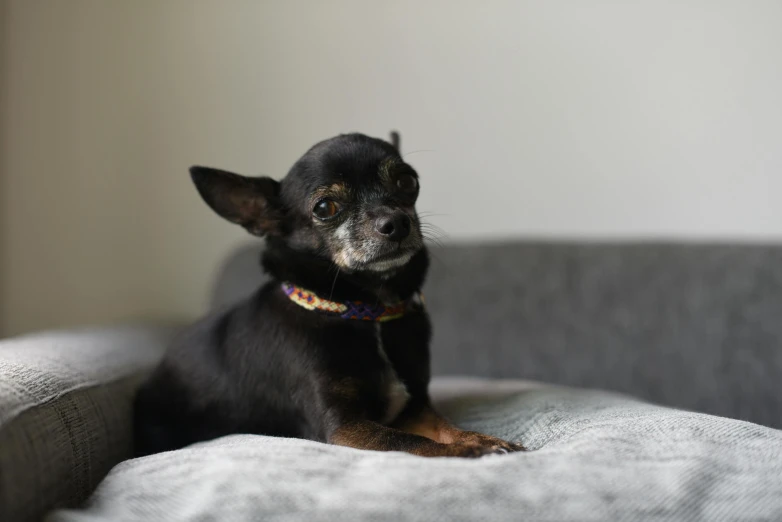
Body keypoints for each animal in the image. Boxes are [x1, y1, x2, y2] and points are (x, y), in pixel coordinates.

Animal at [135, 133, 528, 456]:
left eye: (407, 181)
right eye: (325, 208)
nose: (397, 222)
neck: (364, 311)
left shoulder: (414, 405)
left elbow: (442, 427)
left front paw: (479, 439)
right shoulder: (345, 427)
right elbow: (410, 442)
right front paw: (469, 451)